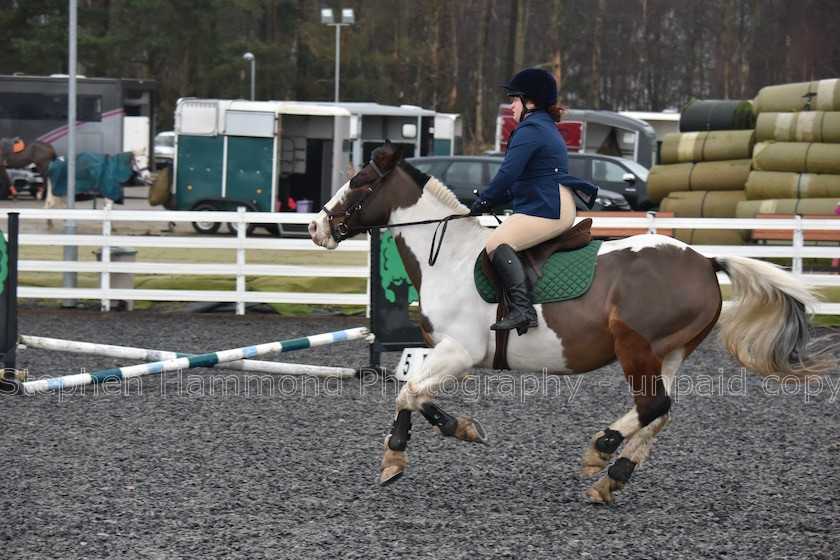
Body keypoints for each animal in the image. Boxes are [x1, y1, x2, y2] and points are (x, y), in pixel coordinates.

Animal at [310, 140, 840, 504]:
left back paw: (601, 450)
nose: (316, 227)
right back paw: (613, 478)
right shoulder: (448, 354)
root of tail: (706, 261)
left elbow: (409, 391)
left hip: (635, 346)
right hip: (667, 353)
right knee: (660, 411)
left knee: (653, 406)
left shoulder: (459, 351)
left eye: (359, 183)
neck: (452, 257)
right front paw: (458, 428)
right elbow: (417, 394)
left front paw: (398, 454)